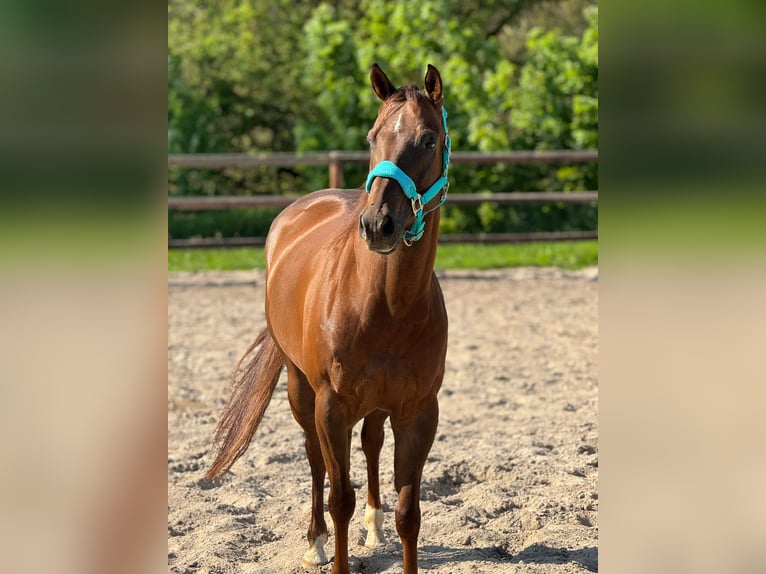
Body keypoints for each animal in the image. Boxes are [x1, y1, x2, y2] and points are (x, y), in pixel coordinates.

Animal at [206, 63, 451, 574]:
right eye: (372, 136)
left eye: (427, 140)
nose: (377, 224)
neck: (387, 305)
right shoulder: (331, 407)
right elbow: (340, 498)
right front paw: (332, 549)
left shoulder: (420, 412)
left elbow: (409, 511)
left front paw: (385, 525)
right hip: (301, 390)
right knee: (314, 458)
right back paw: (315, 541)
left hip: (376, 404)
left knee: (372, 442)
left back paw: (373, 527)